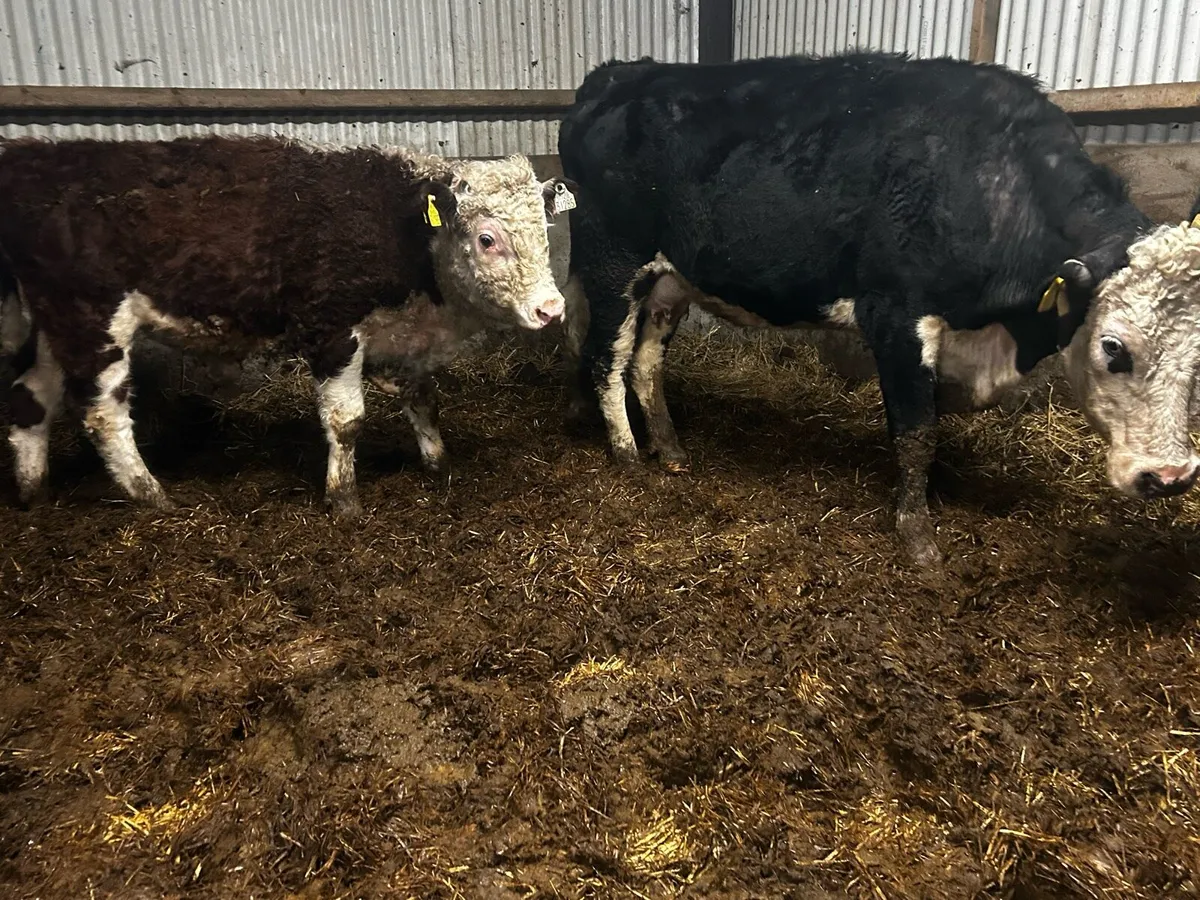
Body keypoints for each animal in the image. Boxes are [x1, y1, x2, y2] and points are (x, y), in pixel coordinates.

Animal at [0, 135, 573, 517]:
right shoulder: (332, 331)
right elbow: (346, 421)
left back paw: (34, 494)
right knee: (103, 414)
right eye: (487, 239)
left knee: (31, 399)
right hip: (93, 318)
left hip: (52, 325)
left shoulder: (403, 339)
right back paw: (154, 497)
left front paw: (437, 463)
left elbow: (424, 398)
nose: (550, 308)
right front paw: (343, 502)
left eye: (546, 233)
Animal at [559, 52, 1200, 568]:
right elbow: (916, 431)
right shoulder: (895, 313)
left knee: (644, 362)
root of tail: (621, 73)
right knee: (604, 358)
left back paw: (671, 450)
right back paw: (627, 456)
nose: (1170, 477)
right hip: (613, 260)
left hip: (669, 281)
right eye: (1113, 347)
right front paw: (918, 538)